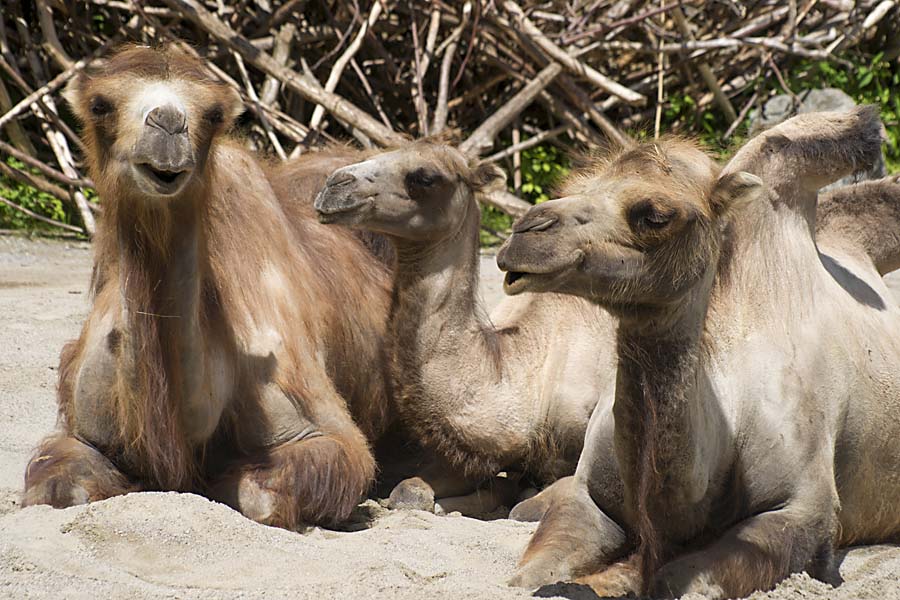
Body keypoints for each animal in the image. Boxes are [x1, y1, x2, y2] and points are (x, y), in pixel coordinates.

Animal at [22, 43, 398, 528]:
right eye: (101, 105)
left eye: (214, 114)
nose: (168, 123)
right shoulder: (83, 427)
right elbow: (57, 490)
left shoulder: (320, 419)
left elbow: (262, 495)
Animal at [496, 109, 900, 600]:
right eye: (579, 185)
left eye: (655, 215)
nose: (525, 233)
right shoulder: (589, 494)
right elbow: (529, 575)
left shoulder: (805, 508)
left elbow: (677, 577)